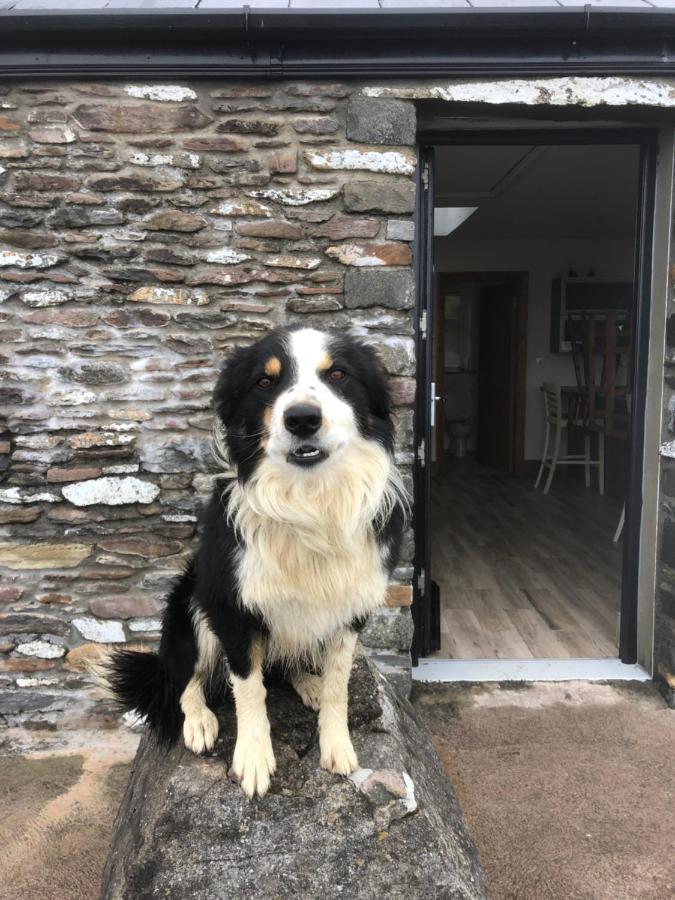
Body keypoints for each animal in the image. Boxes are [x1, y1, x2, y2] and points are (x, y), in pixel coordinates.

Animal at [101, 326, 406, 800]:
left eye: (338, 374)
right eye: (265, 381)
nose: (302, 419)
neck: (310, 503)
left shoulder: (352, 607)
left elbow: (338, 683)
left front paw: (336, 745)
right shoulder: (230, 606)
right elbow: (248, 687)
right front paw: (253, 759)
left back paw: (307, 682)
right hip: (190, 602)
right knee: (183, 677)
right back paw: (199, 721)